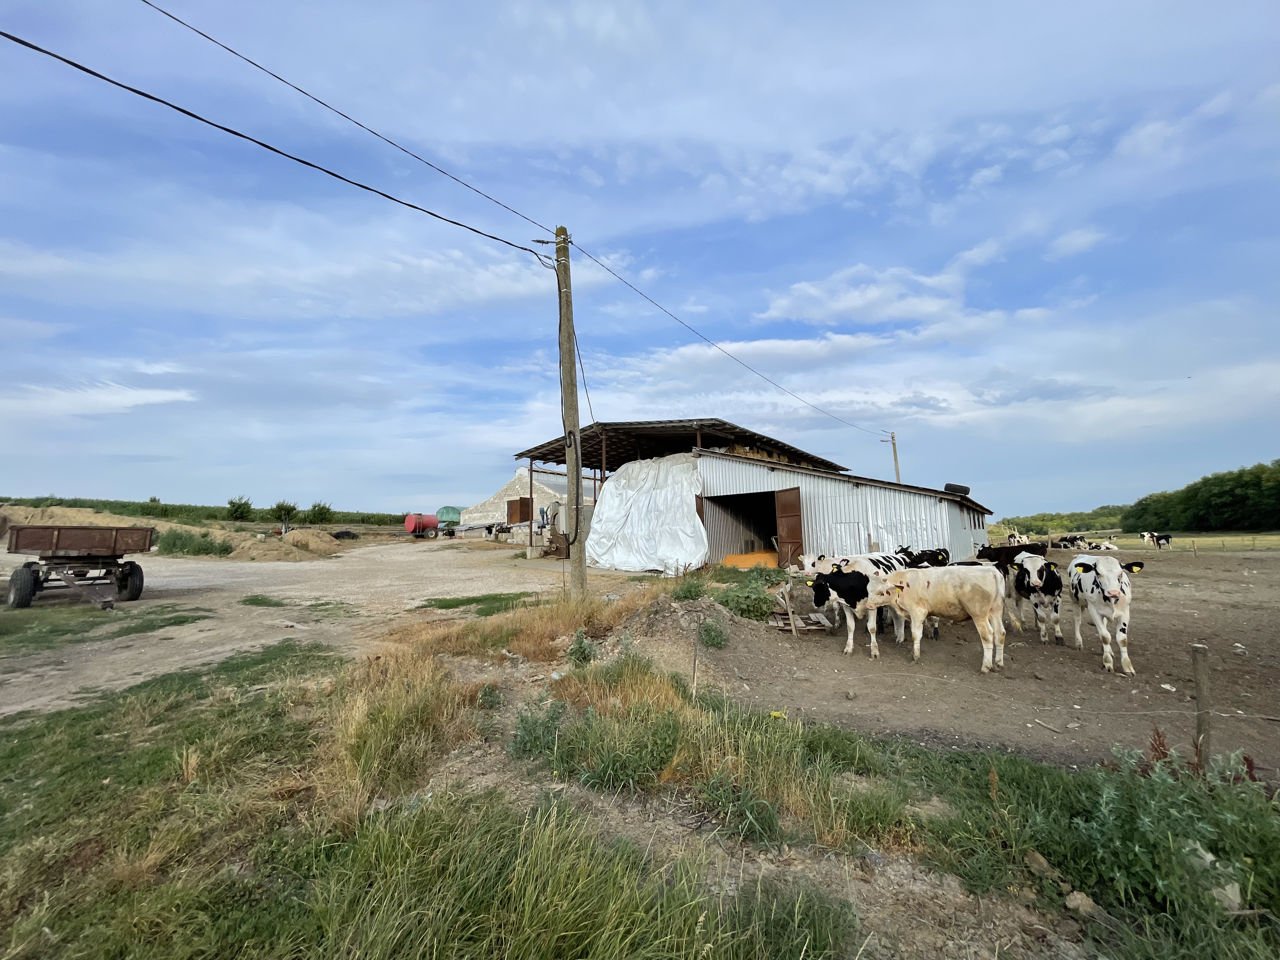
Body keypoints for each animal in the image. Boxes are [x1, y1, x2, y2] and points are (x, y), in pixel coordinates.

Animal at [865, 568, 1003, 670]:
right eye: (868, 590)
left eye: (881, 592)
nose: (868, 605)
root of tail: (992, 570)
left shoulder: (917, 612)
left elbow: (916, 635)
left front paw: (915, 656)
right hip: (995, 611)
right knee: (1000, 634)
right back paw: (998, 662)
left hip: (979, 615)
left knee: (988, 635)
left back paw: (986, 666)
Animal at [1064, 552, 1146, 680]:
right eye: (1098, 573)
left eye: (1120, 573)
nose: (1113, 592)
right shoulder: (1094, 610)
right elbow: (1105, 636)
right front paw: (1107, 662)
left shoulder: (1125, 612)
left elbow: (1122, 639)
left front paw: (1127, 666)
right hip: (1075, 601)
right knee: (1077, 620)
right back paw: (1079, 643)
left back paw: (1106, 649)